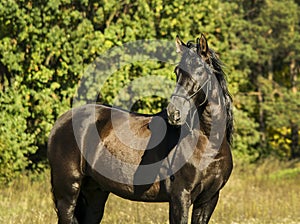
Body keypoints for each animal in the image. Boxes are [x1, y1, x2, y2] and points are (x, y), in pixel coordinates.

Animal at [48, 34, 233, 223]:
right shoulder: (180, 197)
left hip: (94, 193)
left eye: (200, 71)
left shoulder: (208, 199)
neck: (208, 145)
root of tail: (62, 120)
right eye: (177, 72)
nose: (174, 112)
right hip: (68, 194)